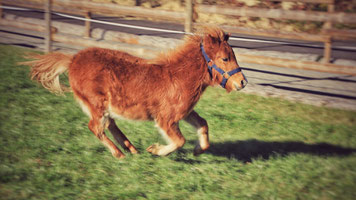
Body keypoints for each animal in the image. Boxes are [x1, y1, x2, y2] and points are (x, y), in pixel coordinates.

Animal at [23, 27, 248, 159]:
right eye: (225, 58)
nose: (243, 82)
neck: (178, 77)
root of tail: (72, 60)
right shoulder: (166, 118)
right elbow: (178, 141)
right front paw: (156, 150)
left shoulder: (184, 113)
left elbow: (203, 125)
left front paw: (198, 149)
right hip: (96, 104)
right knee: (95, 127)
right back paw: (119, 154)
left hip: (106, 107)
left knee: (109, 125)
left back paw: (131, 149)